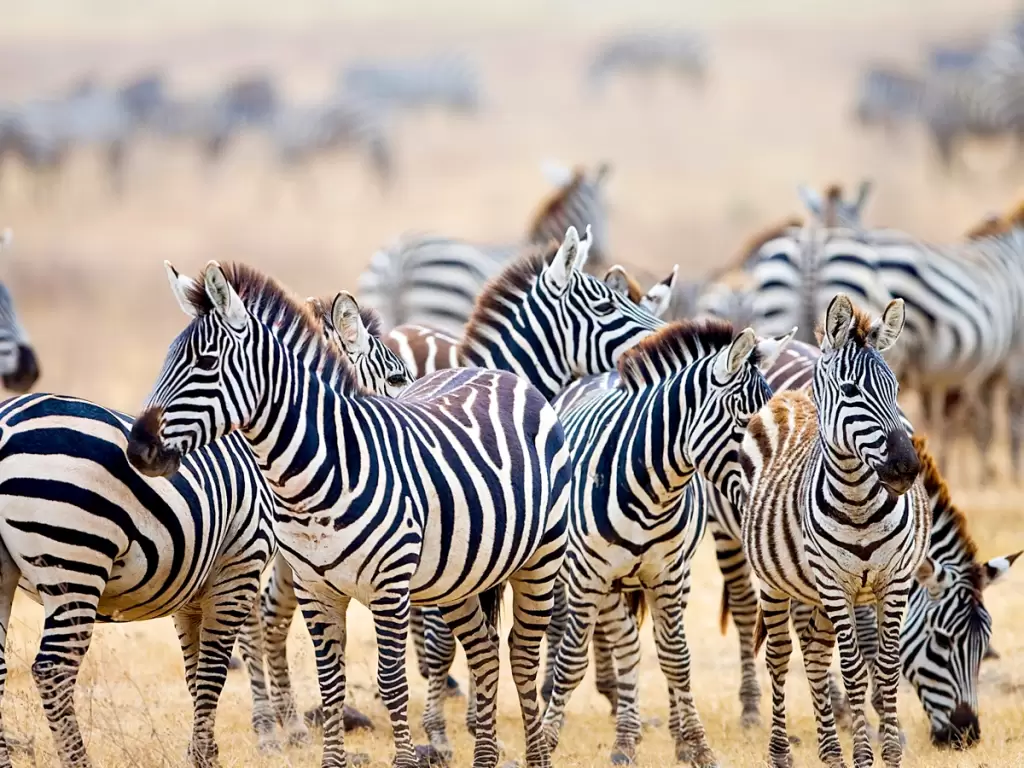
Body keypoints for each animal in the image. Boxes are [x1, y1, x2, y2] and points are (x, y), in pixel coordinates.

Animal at [125, 260, 577, 768]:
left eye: (206, 364)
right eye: (168, 360)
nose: (138, 448)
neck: (317, 477)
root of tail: (499, 373)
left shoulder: (390, 586)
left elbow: (393, 681)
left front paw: (407, 759)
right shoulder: (315, 588)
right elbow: (331, 684)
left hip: (542, 557)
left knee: (521, 652)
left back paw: (535, 754)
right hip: (460, 575)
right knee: (484, 649)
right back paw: (483, 757)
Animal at [540, 319, 794, 765]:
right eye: (745, 425)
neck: (653, 491)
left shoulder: (668, 576)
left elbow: (677, 660)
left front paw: (699, 746)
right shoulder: (589, 577)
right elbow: (571, 663)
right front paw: (548, 742)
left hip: (671, 581)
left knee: (644, 643)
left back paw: (648, 736)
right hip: (589, 577)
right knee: (621, 642)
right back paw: (623, 737)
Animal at [741, 294, 933, 768]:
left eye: (896, 390)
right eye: (850, 392)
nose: (906, 468)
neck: (858, 502)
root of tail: (795, 396)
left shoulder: (894, 582)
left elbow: (886, 668)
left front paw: (890, 754)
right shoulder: (834, 583)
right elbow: (852, 671)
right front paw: (864, 755)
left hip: (814, 592)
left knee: (813, 653)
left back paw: (830, 752)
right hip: (776, 582)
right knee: (780, 656)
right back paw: (780, 753)